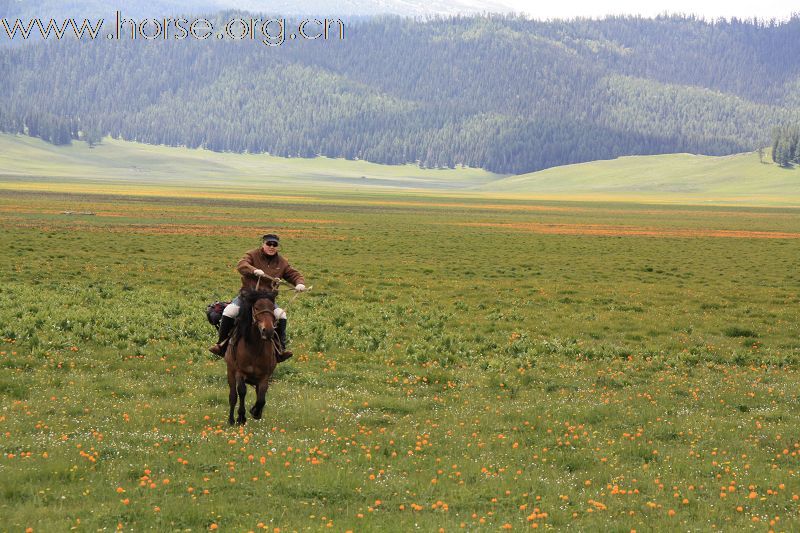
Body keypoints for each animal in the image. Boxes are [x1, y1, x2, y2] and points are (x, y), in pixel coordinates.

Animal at [225, 288, 282, 426]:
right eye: (256, 308)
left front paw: (255, 412)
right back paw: (231, 420)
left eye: (272, 308)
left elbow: (261, 397)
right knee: (233, 396)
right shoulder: (240, 372)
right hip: (230, 372)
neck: (254, 348)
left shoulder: (264, 376)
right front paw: (241, 417)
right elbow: (241, 392)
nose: (268, 331)